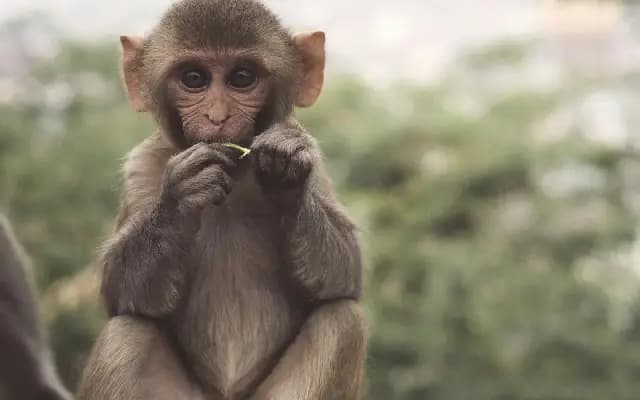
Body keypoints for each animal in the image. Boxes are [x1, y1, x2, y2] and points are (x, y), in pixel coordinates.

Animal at [77, 0, 366, 399]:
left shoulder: (315, 159)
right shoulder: (142, 166)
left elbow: (345, 273)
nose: (217, 117)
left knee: (341, 321)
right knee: (127, 333)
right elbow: (118, 290)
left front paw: (286, 175)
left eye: (242, 77)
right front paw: (180, 198)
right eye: (194, 78)